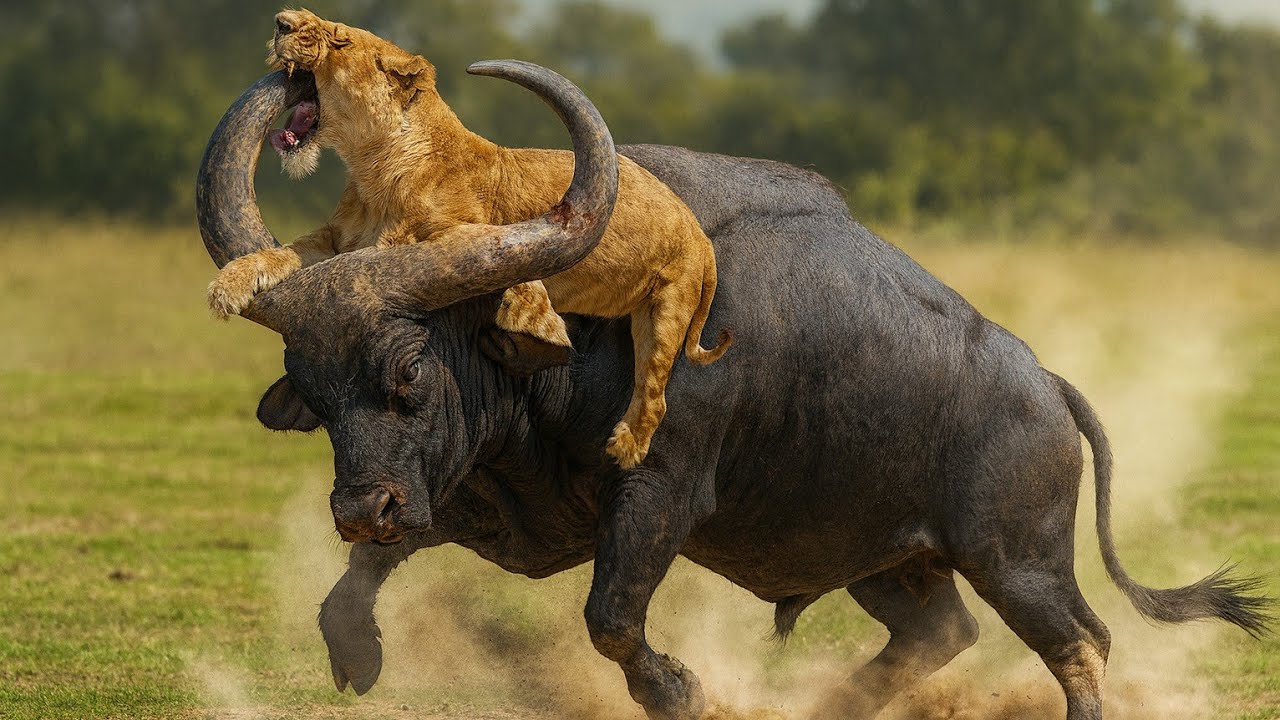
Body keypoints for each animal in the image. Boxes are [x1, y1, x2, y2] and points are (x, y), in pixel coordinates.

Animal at [196, 61, 1271, 720]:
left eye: (410, 371)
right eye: (310, 388)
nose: (357, 505)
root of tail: (1044, 384)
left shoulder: (659, 496)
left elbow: (612, 616)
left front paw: (680, 689)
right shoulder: (462, 495)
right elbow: (358, 582)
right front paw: (358, 654)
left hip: (1018, 557)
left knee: (1080, 642)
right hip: (888, 557)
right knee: (940, 633)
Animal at [207, 9, 732, 469]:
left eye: (341, 40)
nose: (282, 20)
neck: (373, 171)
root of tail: (699, 235)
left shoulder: (462, 228)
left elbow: (473, 252)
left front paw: (530, 312)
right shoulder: (337, 238)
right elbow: (281, 253)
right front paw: (229, 285)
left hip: (666, 310)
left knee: (655, 395)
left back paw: (624, 447)